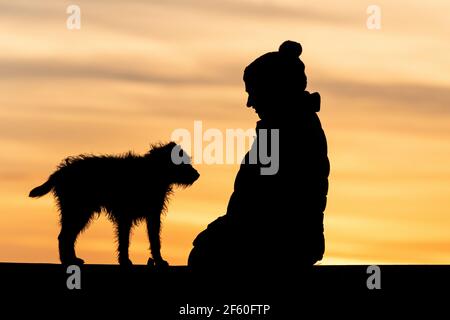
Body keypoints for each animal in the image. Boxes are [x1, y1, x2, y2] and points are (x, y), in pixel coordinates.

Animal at [28, 141, 197, 266]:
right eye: (182, 162)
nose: (197, 174)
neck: (153, 172)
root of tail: (60, 172)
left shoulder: (152, 215)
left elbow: (154, 240)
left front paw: (159, 261)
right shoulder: (126, 215)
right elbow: (125, 240)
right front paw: (125, 261)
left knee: (67, 236)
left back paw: (72, 259)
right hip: (78, 210)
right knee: (65, 236)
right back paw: (68, 260)